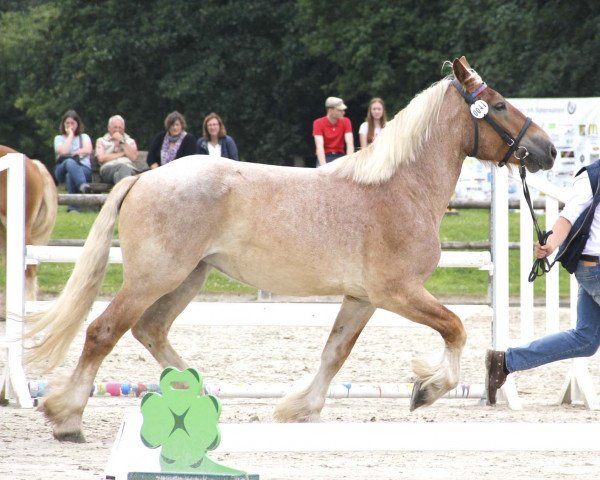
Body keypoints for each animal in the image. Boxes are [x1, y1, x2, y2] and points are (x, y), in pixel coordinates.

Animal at [25, 55, 556, 438]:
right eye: (500, 105)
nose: (549, 150)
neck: (399, 189)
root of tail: (145, 176)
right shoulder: (398, 293)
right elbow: (456, 327)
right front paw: (426, 390)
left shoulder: (362, 298)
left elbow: (335, 352)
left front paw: (301, 407)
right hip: (155, 276)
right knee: (104, 331)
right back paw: (67, 416)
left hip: (188, 277)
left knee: (150, 330)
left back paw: (202, 396)